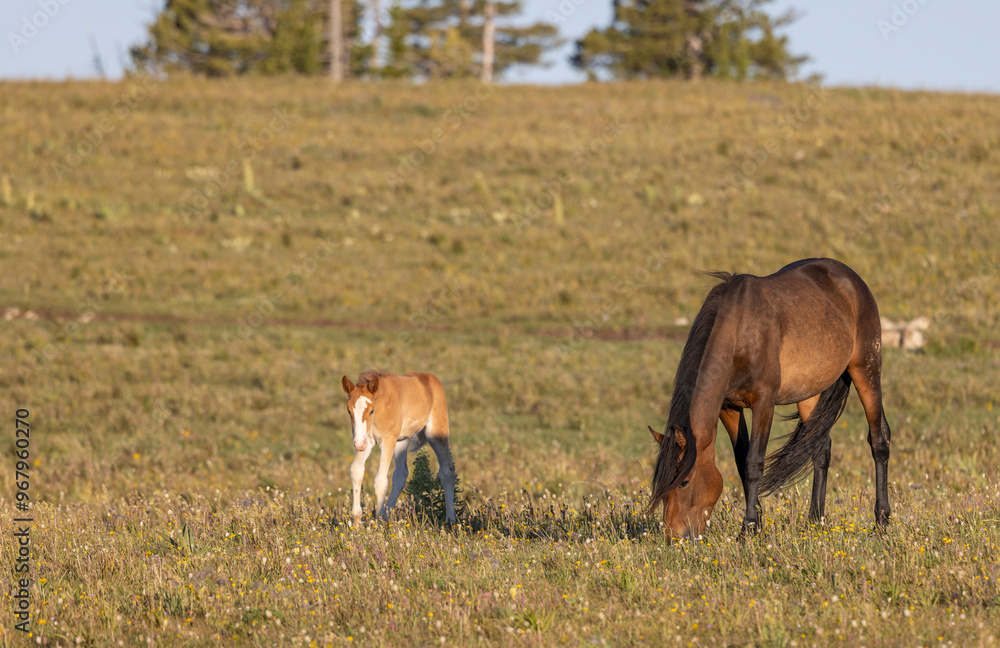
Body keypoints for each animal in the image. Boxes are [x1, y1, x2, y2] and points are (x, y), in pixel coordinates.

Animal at [341, 370, 457, 525]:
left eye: (371, 410)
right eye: (349, 411)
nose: (358, 445)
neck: (381, 407)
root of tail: (431, 378)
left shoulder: (387, 440)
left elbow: (381, 481)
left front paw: (378, 523)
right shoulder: (367, 440)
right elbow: (356, 470)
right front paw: (357, 523)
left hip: (436, 433)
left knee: (447, 471)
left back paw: (450, 520)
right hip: (401, 441)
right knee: (401, 474)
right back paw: (387, 515)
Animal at [648, 258, 892, 543]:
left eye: (684, 482)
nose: (673, 537)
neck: (740, 331)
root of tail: (850, 278)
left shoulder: (764, 403)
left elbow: (754, 463)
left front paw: (748, 529)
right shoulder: (729, 408)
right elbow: (741, 461)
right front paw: (757, 525)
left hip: (866, 369)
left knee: (879, 440)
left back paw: (881, 522)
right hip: (809, 392)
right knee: (821, 448)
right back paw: (815, 521)